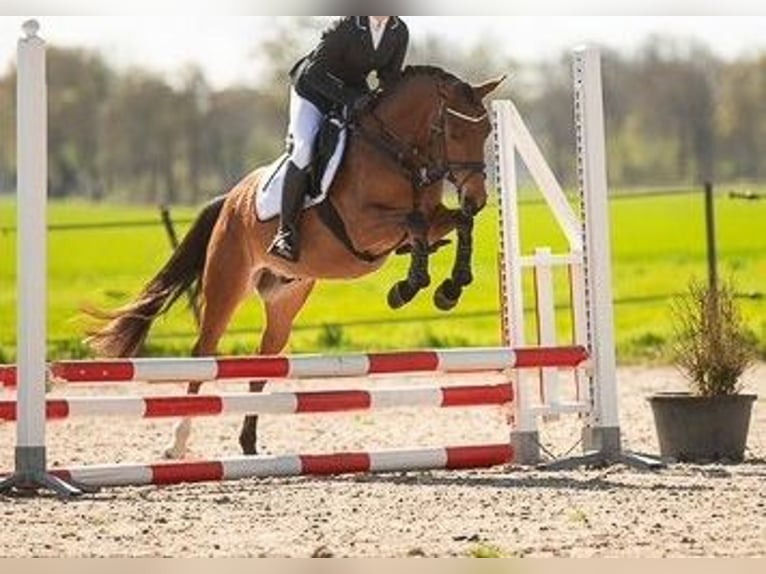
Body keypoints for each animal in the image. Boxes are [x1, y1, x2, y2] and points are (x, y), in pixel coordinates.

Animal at [86, 66, 503, 459]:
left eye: (486, 131)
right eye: (454, 131)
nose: (477, 198)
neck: (398, 153)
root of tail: (231, 199)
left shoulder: (431, 219)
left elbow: (456, 224)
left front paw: (450, 288)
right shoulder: (363, 228)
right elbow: (414, 224)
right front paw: (408, 287)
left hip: (285, 298)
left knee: (263, 360)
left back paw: (248, 442)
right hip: (227, 283)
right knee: (203, 355)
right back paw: (178, 443)